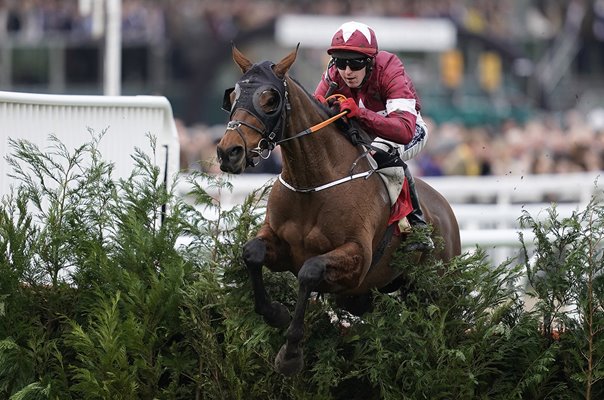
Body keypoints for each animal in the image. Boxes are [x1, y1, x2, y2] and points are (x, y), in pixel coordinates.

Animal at [216, 45, 458, 376]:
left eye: (270, 99)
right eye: (232, 96)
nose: (229, 152)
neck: (312, 182)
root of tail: (446, 210)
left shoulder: (356, 260)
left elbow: (309, 271)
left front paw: (291, 354)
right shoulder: (280, 246)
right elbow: (251, 252)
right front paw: (276, 313)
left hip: (433, 289)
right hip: (367, 294)